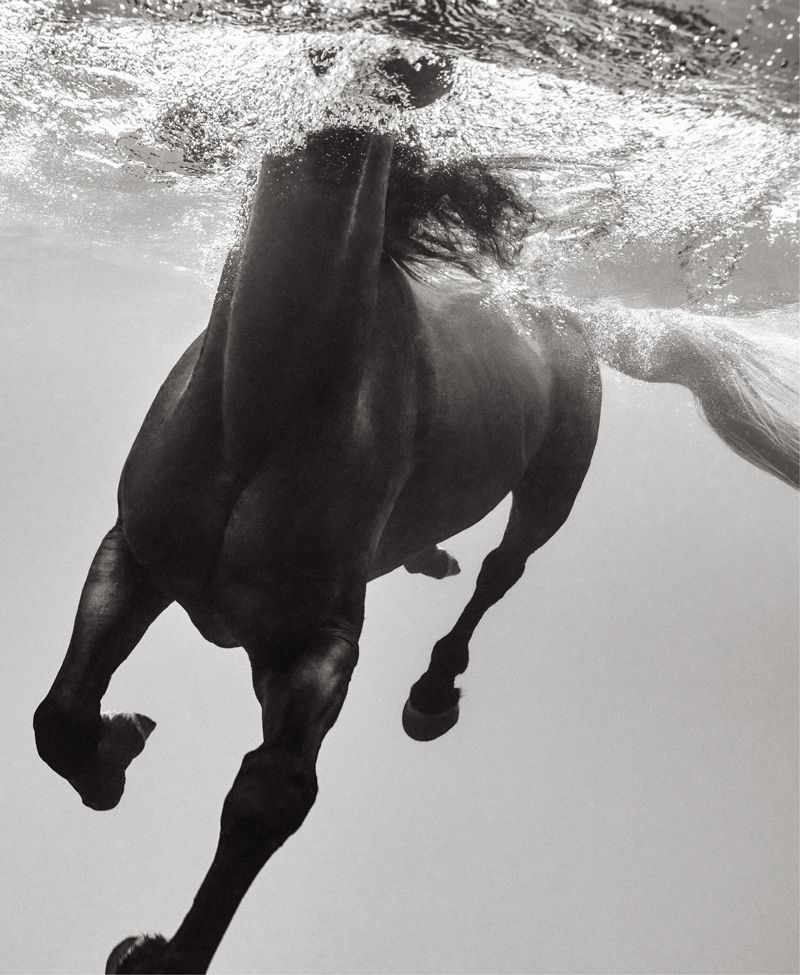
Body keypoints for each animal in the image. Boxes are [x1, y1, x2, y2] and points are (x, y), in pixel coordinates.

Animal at [32, 60, 798, 975]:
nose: (407, 62)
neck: (265, 403)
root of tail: (563, 315)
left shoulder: (320, 640)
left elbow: (267, 795)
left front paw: (160, 953)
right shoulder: (134, 554)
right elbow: (58, 714)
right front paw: (116, 748)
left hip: (557, 479)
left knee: (504, 570)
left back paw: (433, 694)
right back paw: (428, 557)